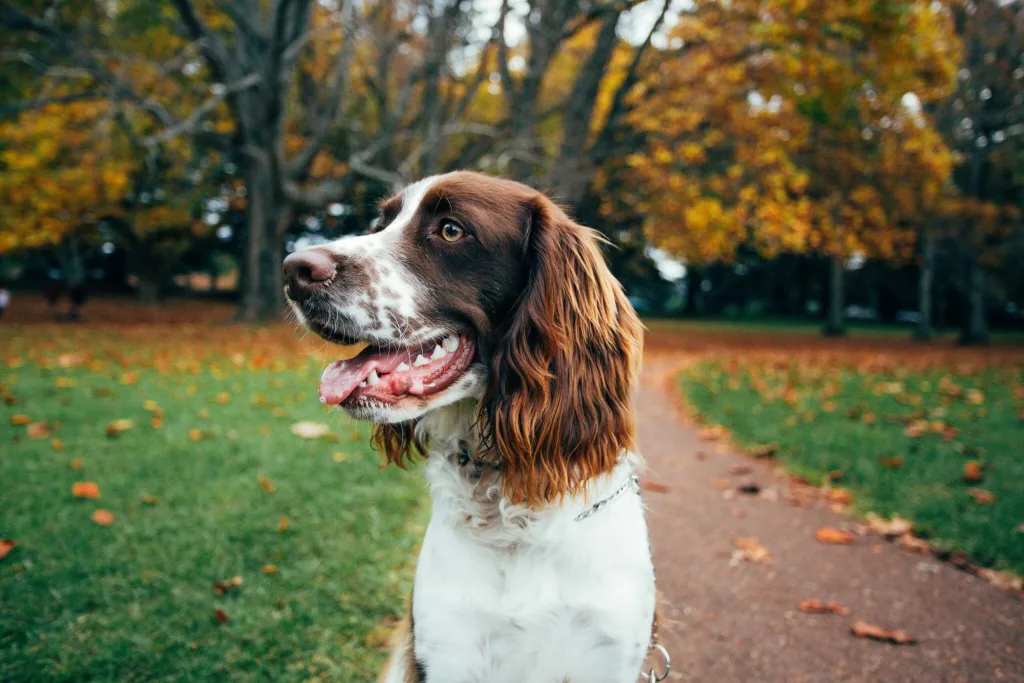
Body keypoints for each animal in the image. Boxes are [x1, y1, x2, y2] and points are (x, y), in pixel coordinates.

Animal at [282, 172, 655, 683]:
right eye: (382, 223)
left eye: (452, 230)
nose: (293, 269)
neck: (509, 512)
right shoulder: (447, 651)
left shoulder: (609, 657)